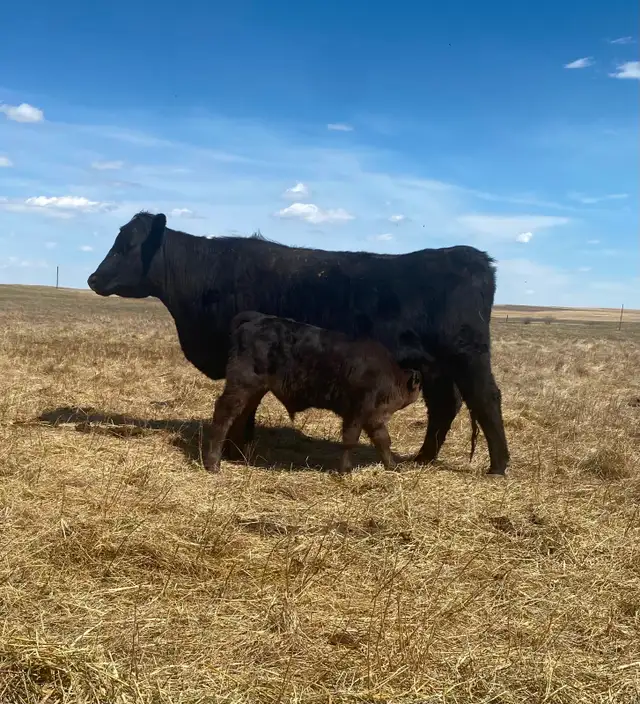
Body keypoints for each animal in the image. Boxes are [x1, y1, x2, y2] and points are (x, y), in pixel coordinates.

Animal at [204, 310, 423, 473]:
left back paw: (237, 456)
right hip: (242, 385)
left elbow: (383, 440)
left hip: (254, 391)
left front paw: (392, 466)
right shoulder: (356, 412)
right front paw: (345, 470)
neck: (389, 374)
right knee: (224, 414)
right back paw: (213, 463)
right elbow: (350, 440)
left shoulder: (373, 417)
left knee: (239, 417)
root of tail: (256, 319)